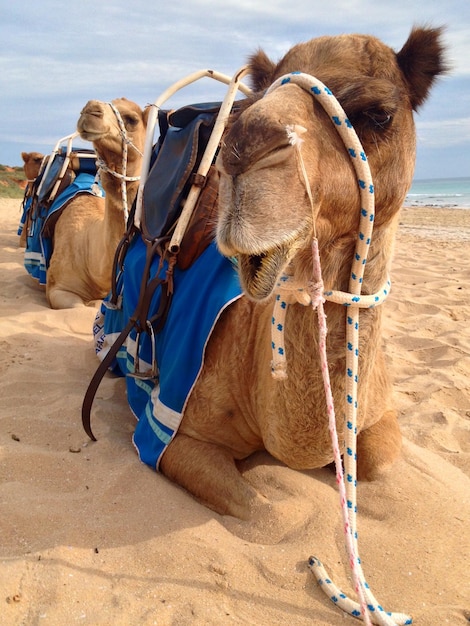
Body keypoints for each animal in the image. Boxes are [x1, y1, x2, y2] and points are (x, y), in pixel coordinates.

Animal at [90, 26, 446, 520]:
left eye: (380, 113)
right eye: (261, 96)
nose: (242, 147)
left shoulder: (381, 413)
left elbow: (382, 466)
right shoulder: (173, 432)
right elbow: (268, 513)